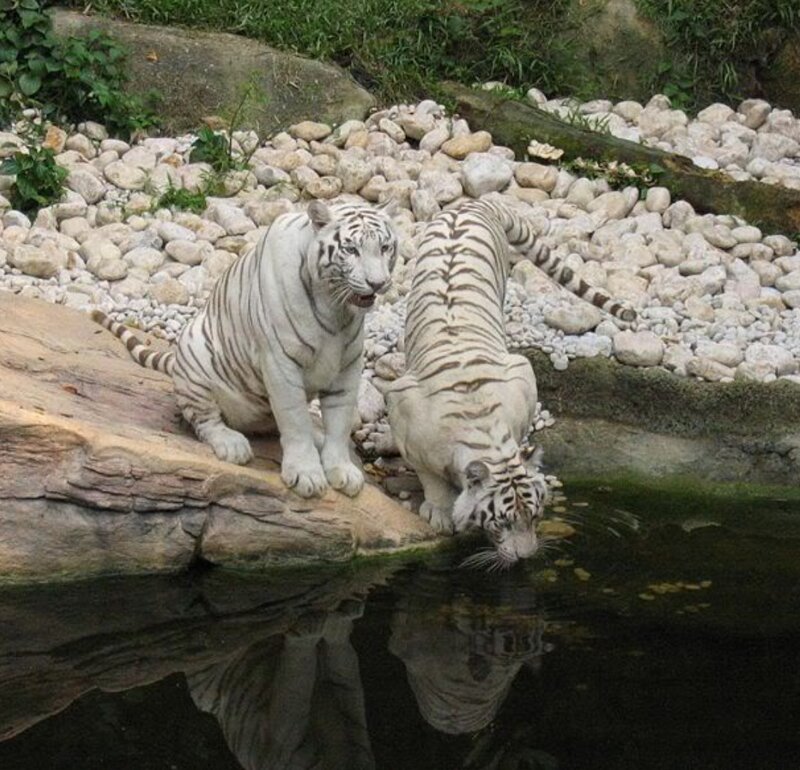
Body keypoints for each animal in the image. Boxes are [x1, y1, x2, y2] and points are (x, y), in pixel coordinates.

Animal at [93, 199, 399, 499]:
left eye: (385, 248)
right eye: (351, 250)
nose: (377, 284)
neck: (336, 308)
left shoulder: (347, 365)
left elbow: (340, 421)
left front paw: (341, 470)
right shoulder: (281, 361)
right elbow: (295, 418)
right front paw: (306, 474)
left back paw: (317, 437)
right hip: (195, 355)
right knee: (205, 421)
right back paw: (232, 445)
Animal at [385, 197, 636, 566]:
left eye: (535, 515)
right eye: (501, 522)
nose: (527, 557)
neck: (483, 431)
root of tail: (473, 202)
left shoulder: (521, 374)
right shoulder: (403, 414)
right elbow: (430, 478)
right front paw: (440, 512)